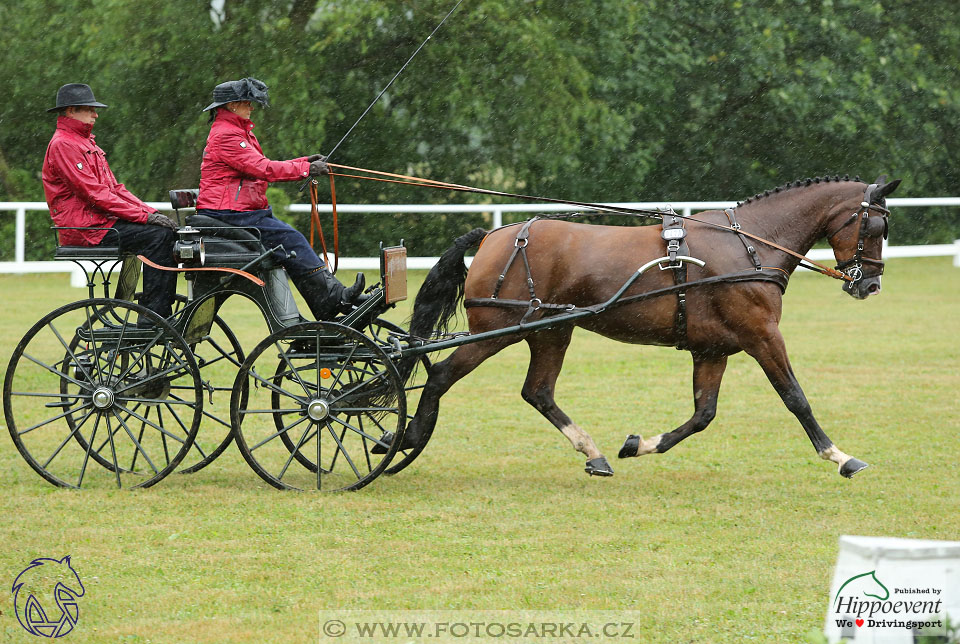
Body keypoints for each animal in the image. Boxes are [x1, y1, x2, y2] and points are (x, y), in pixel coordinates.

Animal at [396, 176, 900, 478]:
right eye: (875, 227)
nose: (871, 285)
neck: (750, 246)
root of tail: (496, 235)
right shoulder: (762, 336)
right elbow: (795, 397)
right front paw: (840, 456)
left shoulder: (713, 350)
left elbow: (702, 415)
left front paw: (638, 444)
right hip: (501, 329)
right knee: (441, 376)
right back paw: (406, 438)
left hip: (551, 331)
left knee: (537, 391)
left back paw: (595, 453)